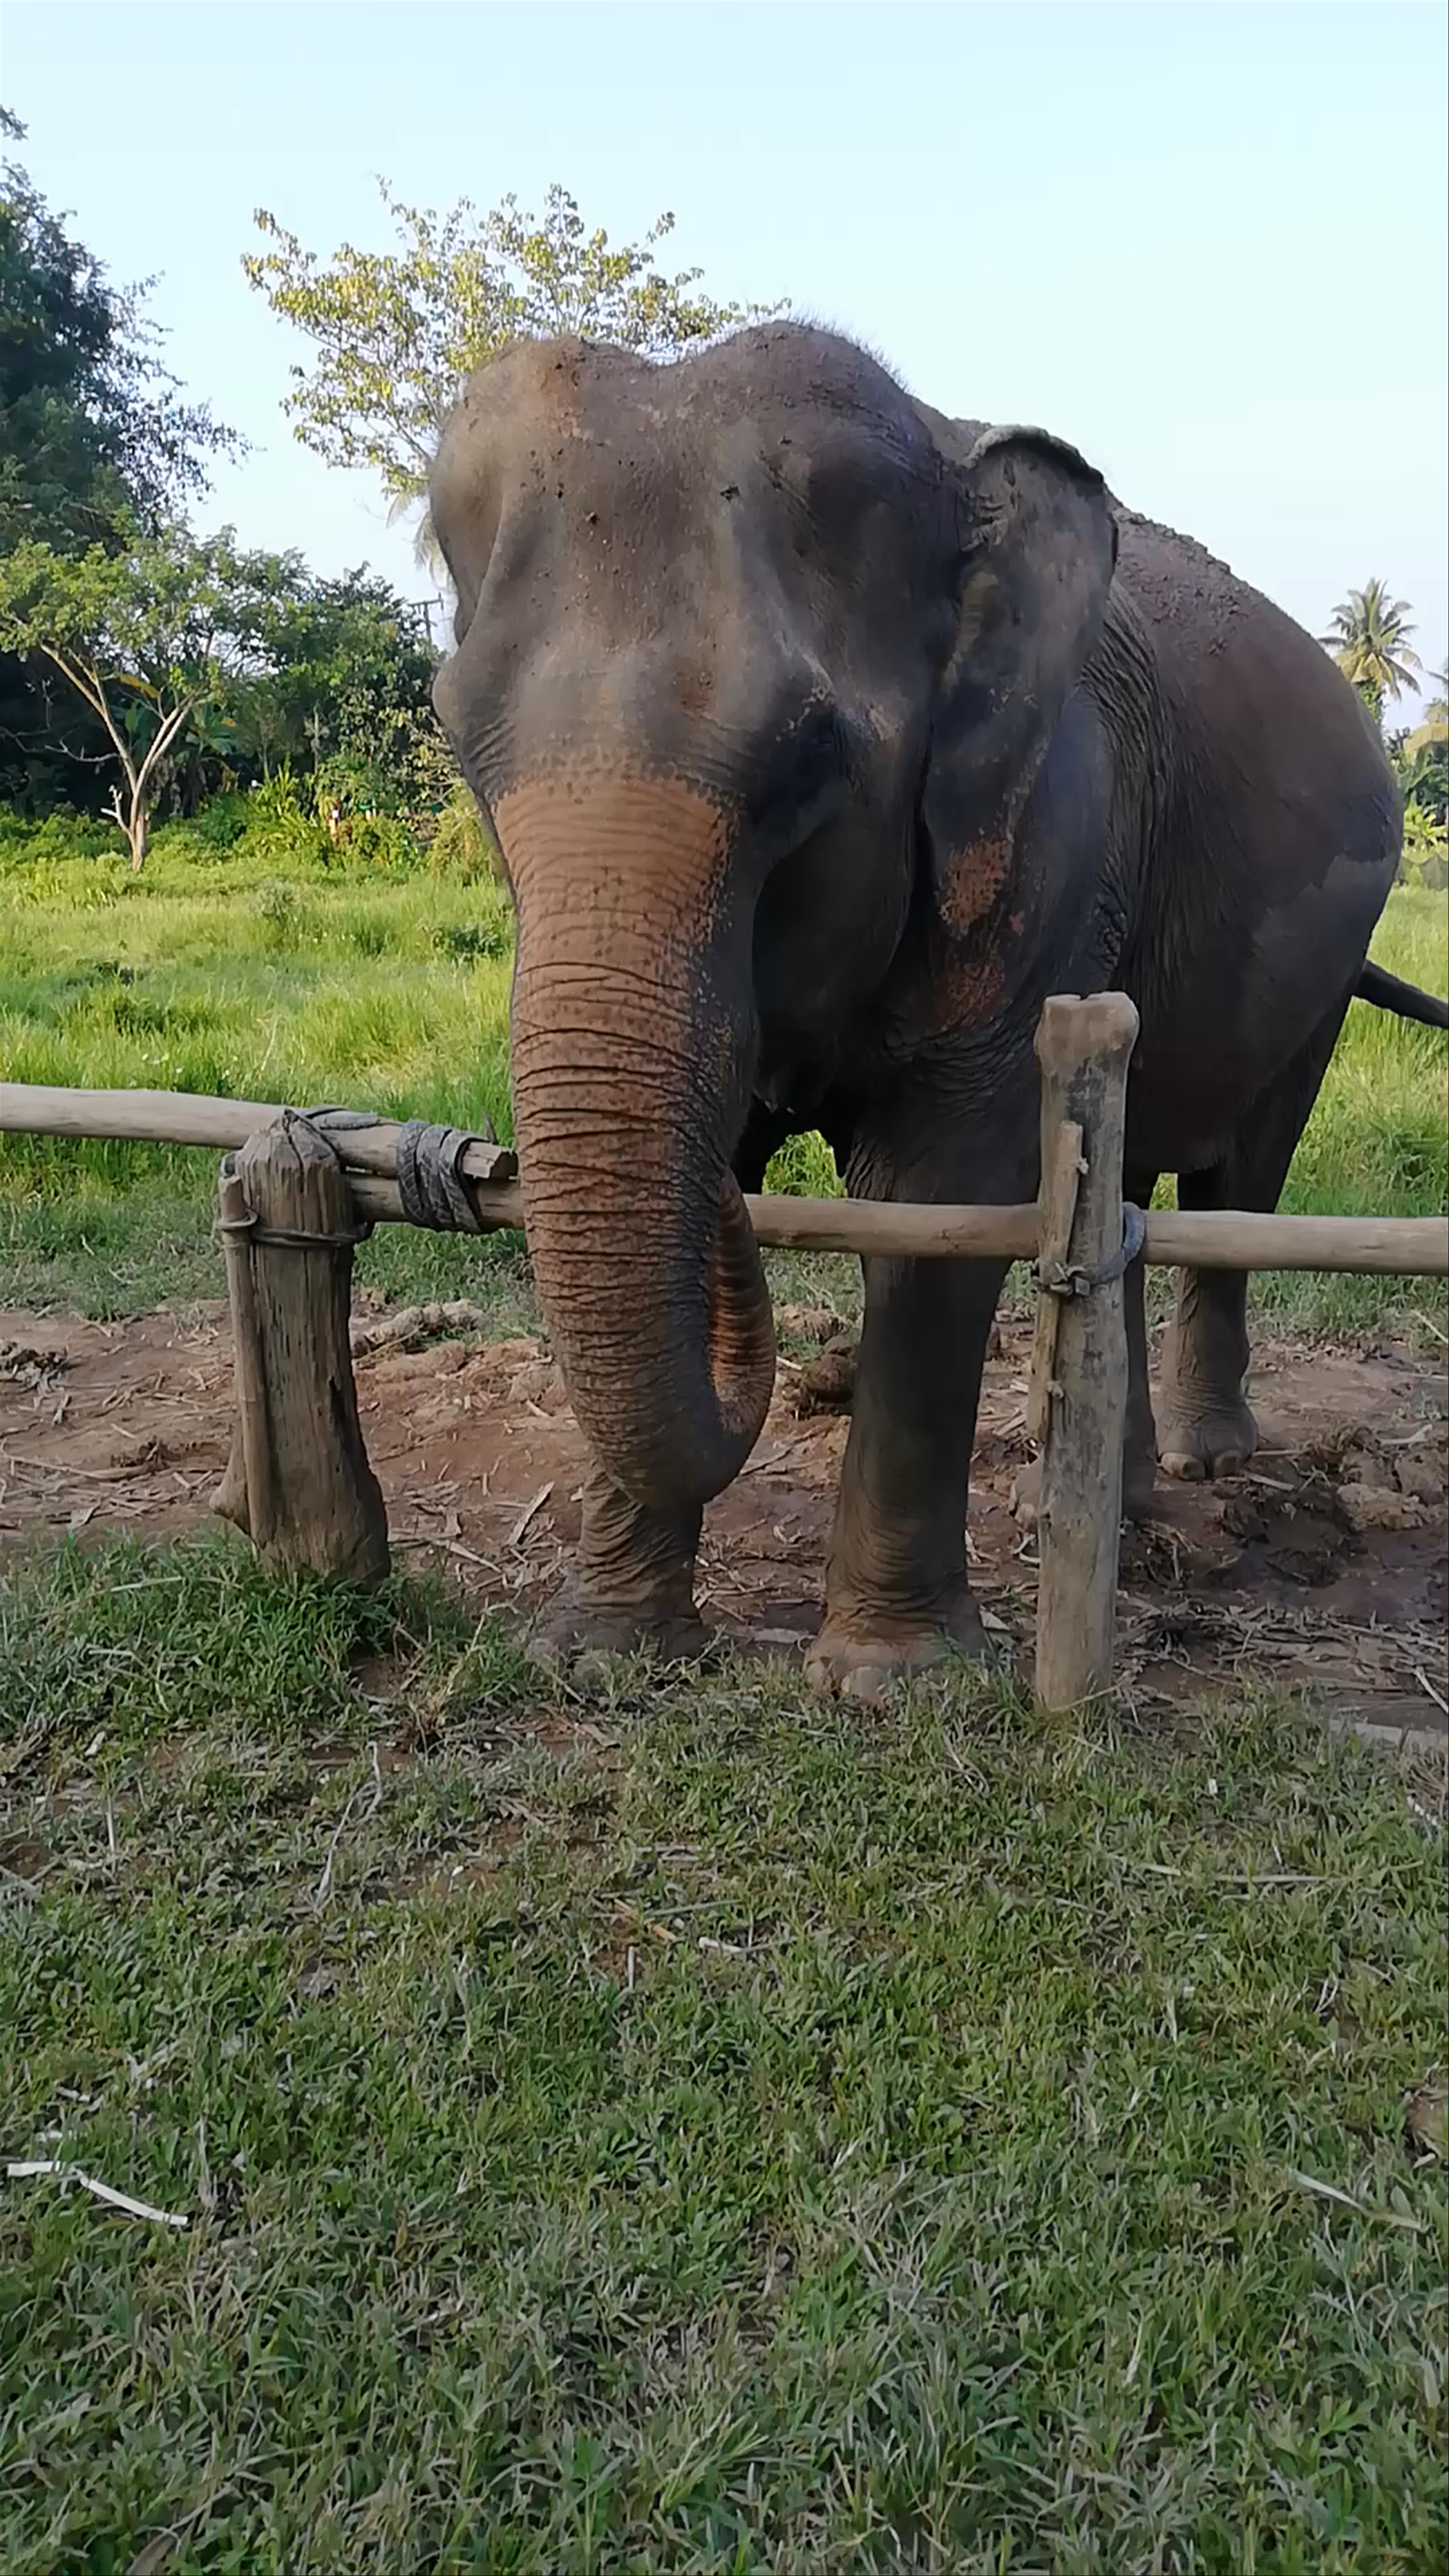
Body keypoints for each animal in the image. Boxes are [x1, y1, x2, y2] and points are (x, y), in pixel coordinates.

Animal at [429, 323, 1446, 1695]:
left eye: (812, 760)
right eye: (458, 746)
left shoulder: (1052, 828)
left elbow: (937, 1195)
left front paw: (886, 1678)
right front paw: (603, 1654)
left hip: (1333, 960)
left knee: (1244, 1175)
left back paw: (1208, 1462)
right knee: (1124, 1185)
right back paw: (1099, 1502)